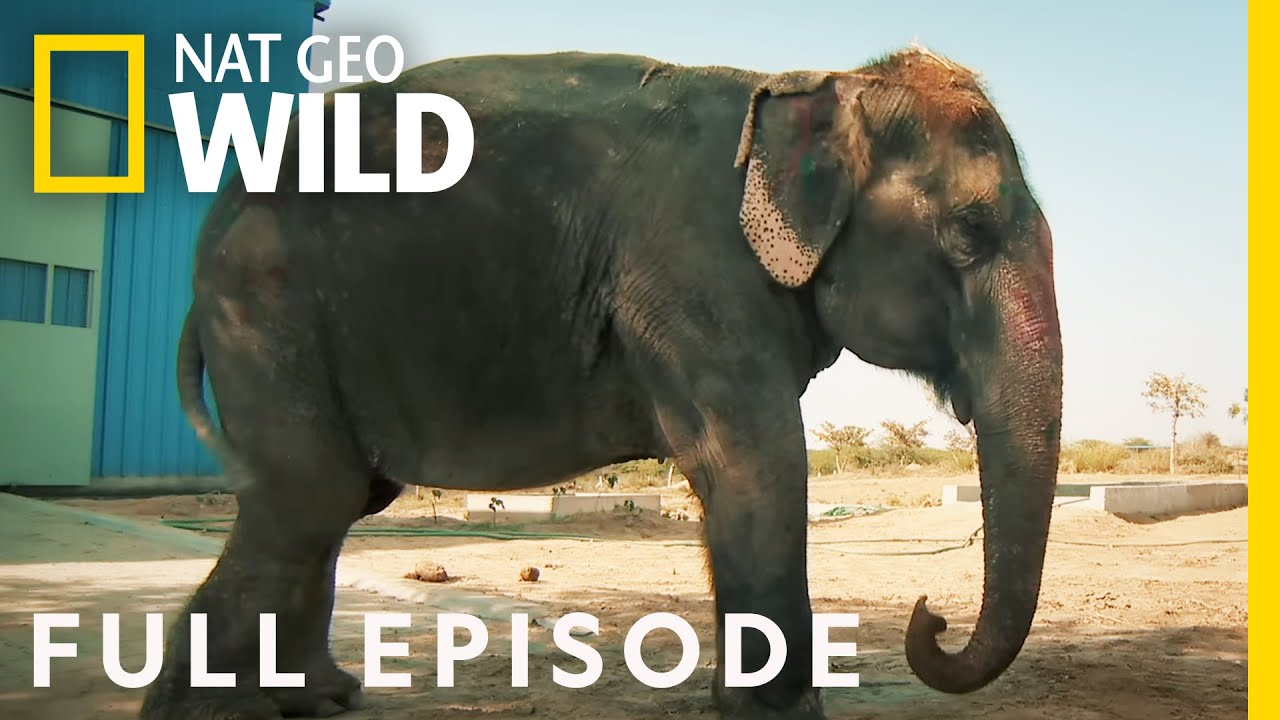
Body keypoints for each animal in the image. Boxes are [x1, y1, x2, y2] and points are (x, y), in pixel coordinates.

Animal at [142, 46, 1063, 720]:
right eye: (971, 230)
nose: (930, 615)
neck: (818, 86)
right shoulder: (693, 274)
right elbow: (758, 466)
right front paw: (781, 717)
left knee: (334, 503)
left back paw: (320, 699)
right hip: (267, 306)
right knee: (312, 497)